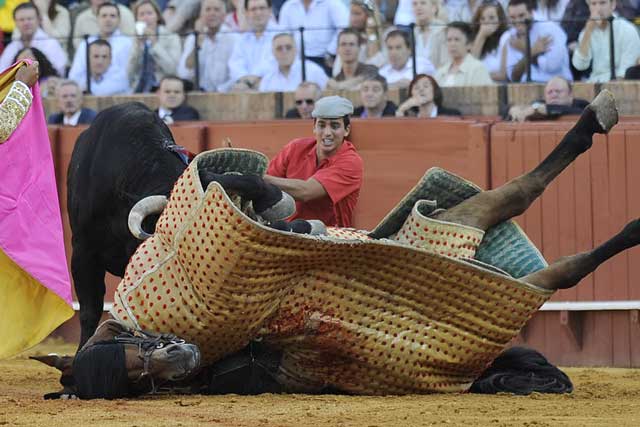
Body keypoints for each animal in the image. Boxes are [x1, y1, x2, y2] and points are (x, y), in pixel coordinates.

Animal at [38, 91, 632, 402]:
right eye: (131, 373)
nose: (305, 229)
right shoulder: (82, 255)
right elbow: (89, 311)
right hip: (462, 237)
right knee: (539, 233)